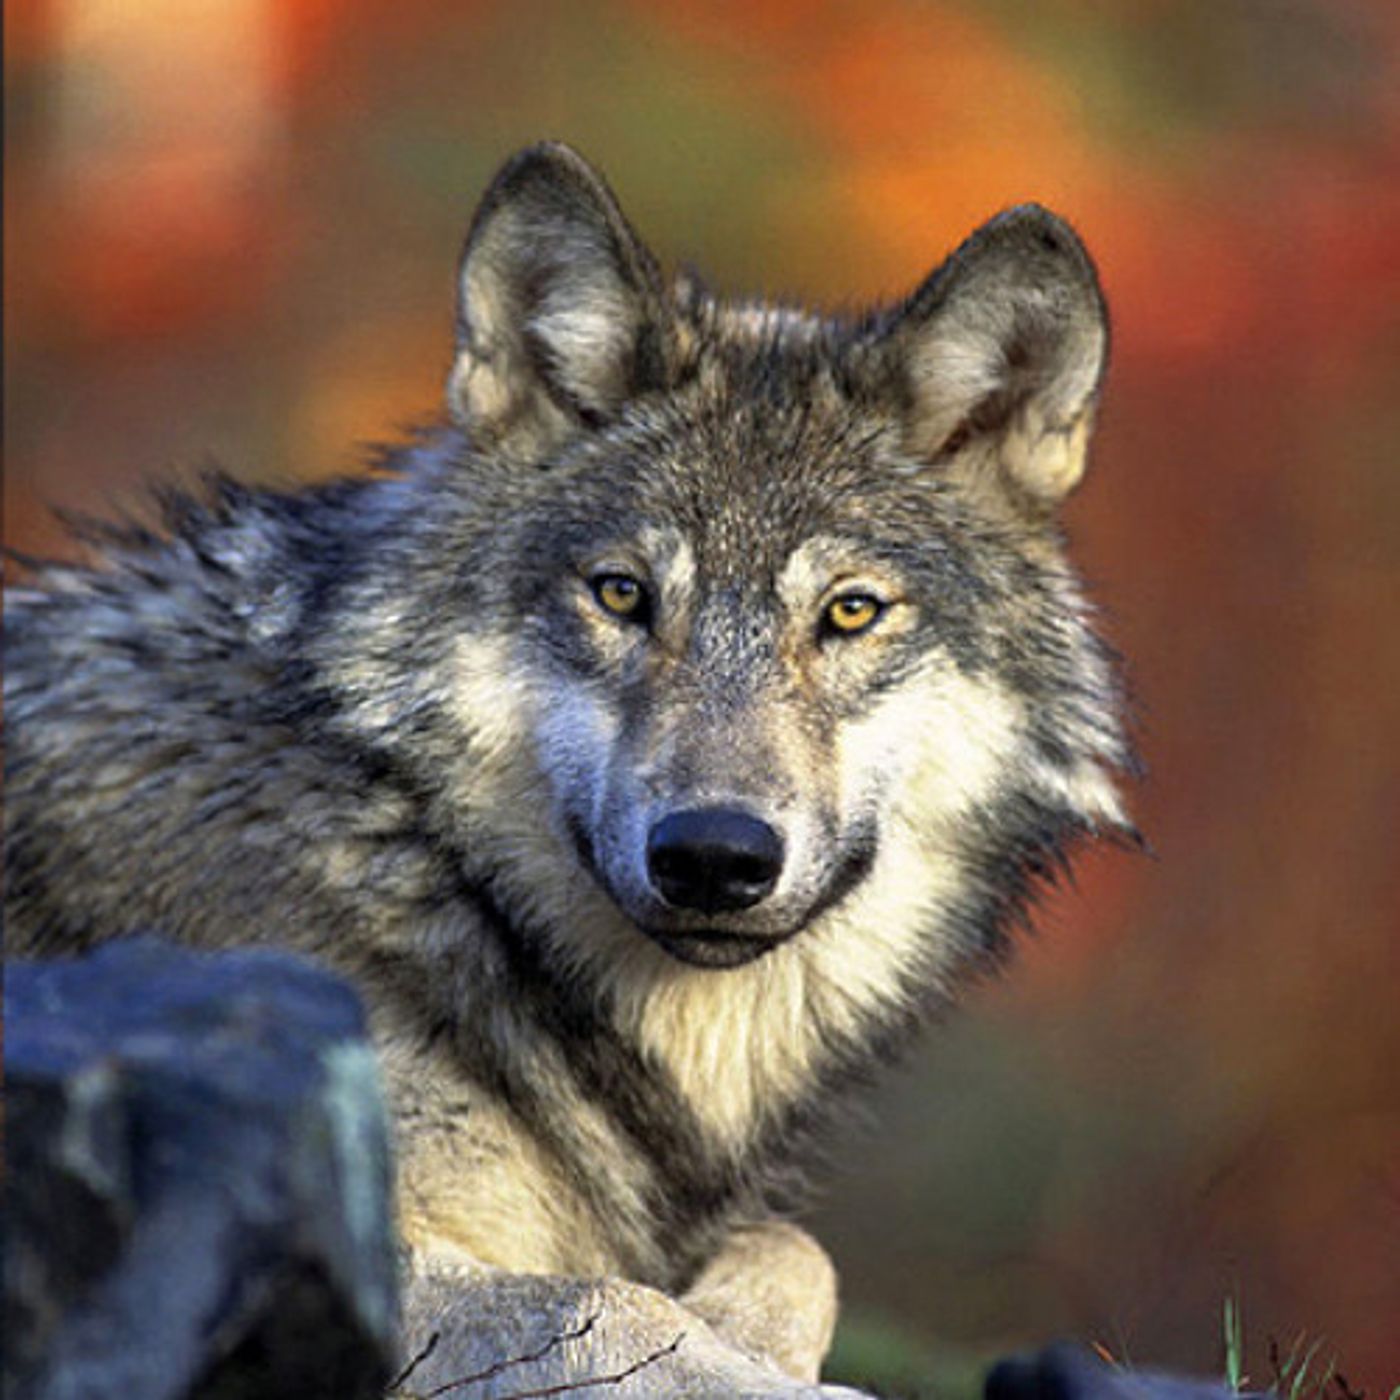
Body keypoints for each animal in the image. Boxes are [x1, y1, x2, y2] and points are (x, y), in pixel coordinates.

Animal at [5, 142, 1133, 1390]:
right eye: (621, 594)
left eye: (848, 611)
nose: (712, 855)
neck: (420, 863)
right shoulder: (342, 1242)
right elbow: (614, 1303)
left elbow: (796, 1250)